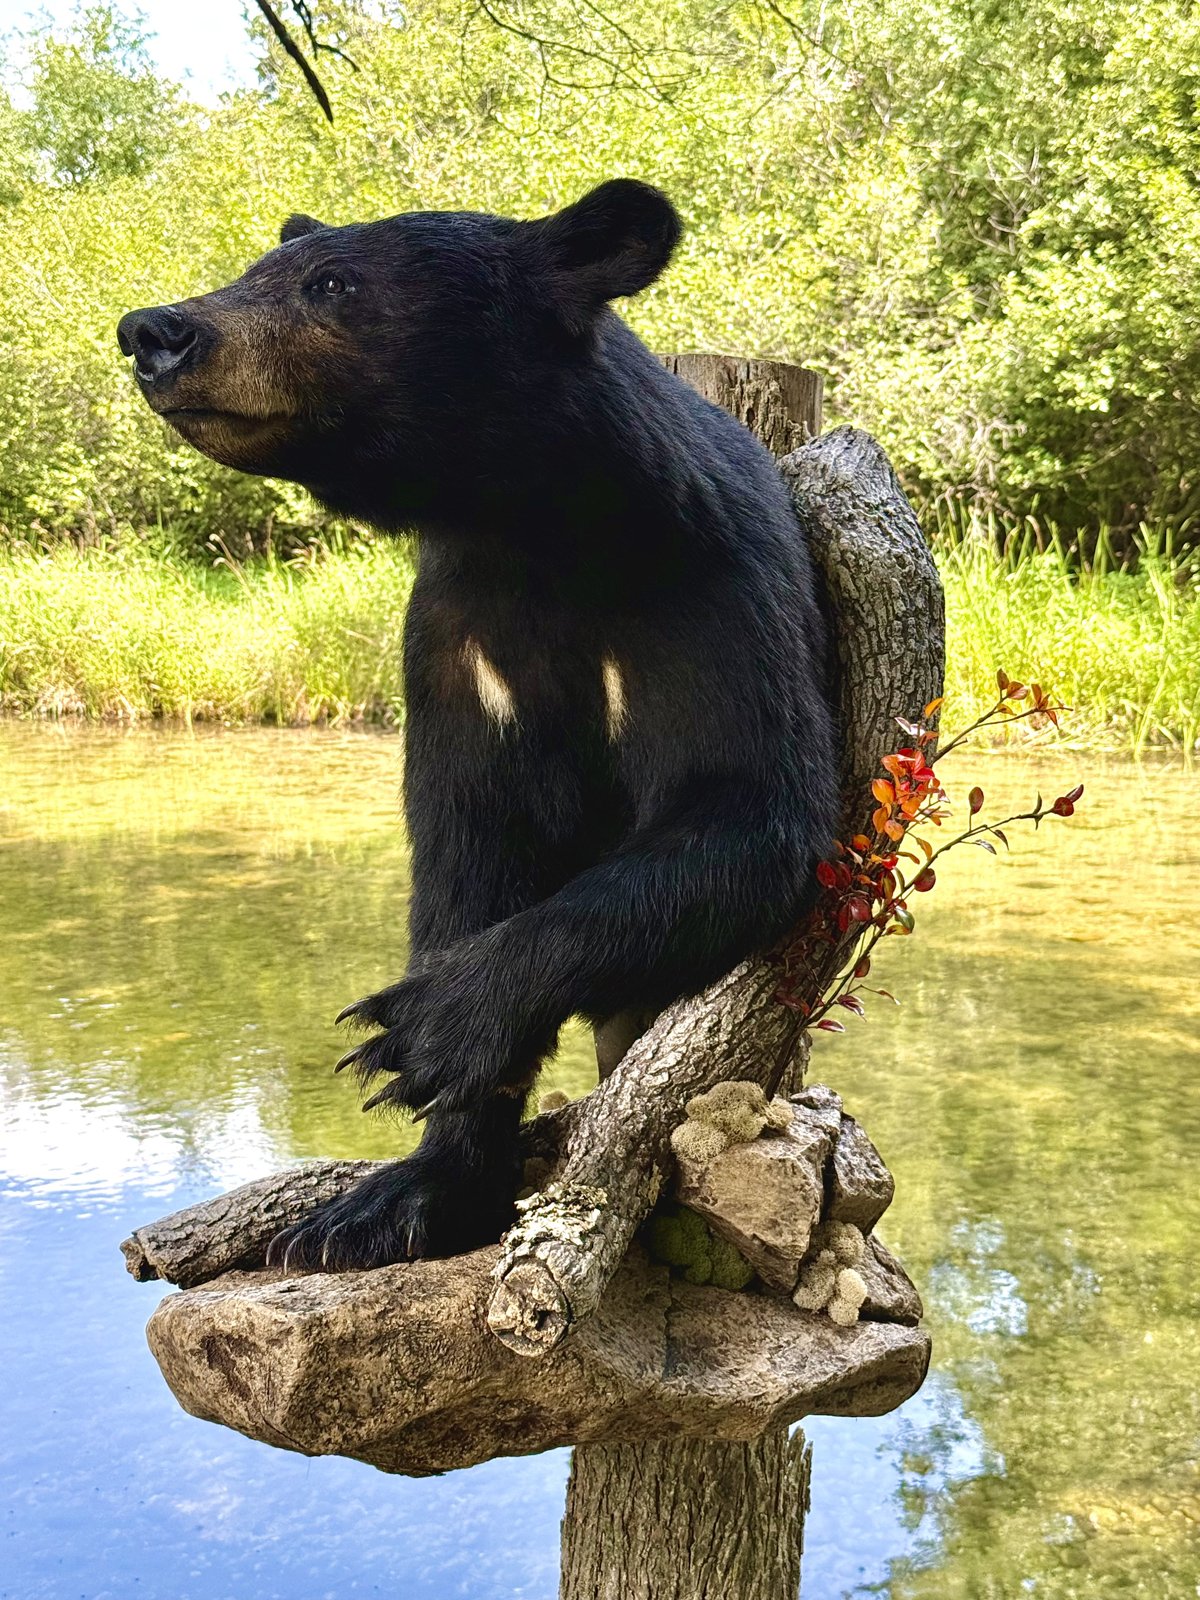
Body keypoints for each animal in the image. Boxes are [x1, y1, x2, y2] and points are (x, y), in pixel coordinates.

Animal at [116, 179, 839, 1270]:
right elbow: (467, 843)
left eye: (332, 283)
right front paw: (398, 1195)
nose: (154, 332)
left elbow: (750, 809)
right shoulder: (455, 642)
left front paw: (418, 1029)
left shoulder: (708, 589)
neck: (532, 530)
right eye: (255, 269)